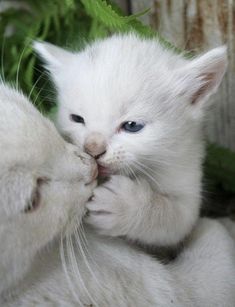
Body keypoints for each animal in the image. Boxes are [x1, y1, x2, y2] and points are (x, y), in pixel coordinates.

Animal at [35, 34, 228, 248]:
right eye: (77, 118)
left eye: (132, 125)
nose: (93, 149)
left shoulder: (187, 175)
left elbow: (174, 219)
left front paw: (126, 205)